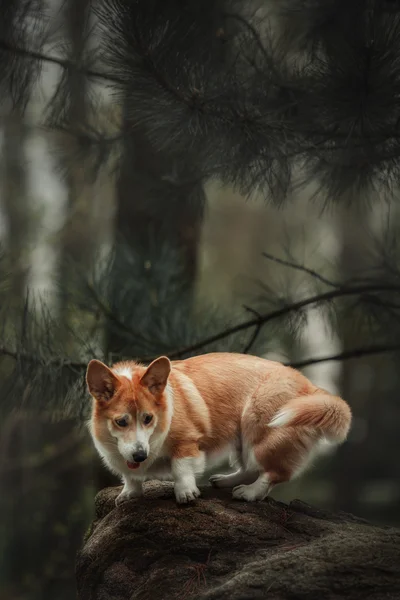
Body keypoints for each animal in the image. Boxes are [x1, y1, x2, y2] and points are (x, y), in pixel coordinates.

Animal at [86, 354, 352, 504]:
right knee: (249, 468)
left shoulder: (187, 442)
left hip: (257, 428)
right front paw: (129, 493)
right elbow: (130, 477)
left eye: (148, 418)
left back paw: (249, 493)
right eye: (121, 422)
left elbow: (181, 468)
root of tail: (310, 387)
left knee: (272, 473)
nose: (140, 455)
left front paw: (185, 493)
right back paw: (225, 481)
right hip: (242, 440)